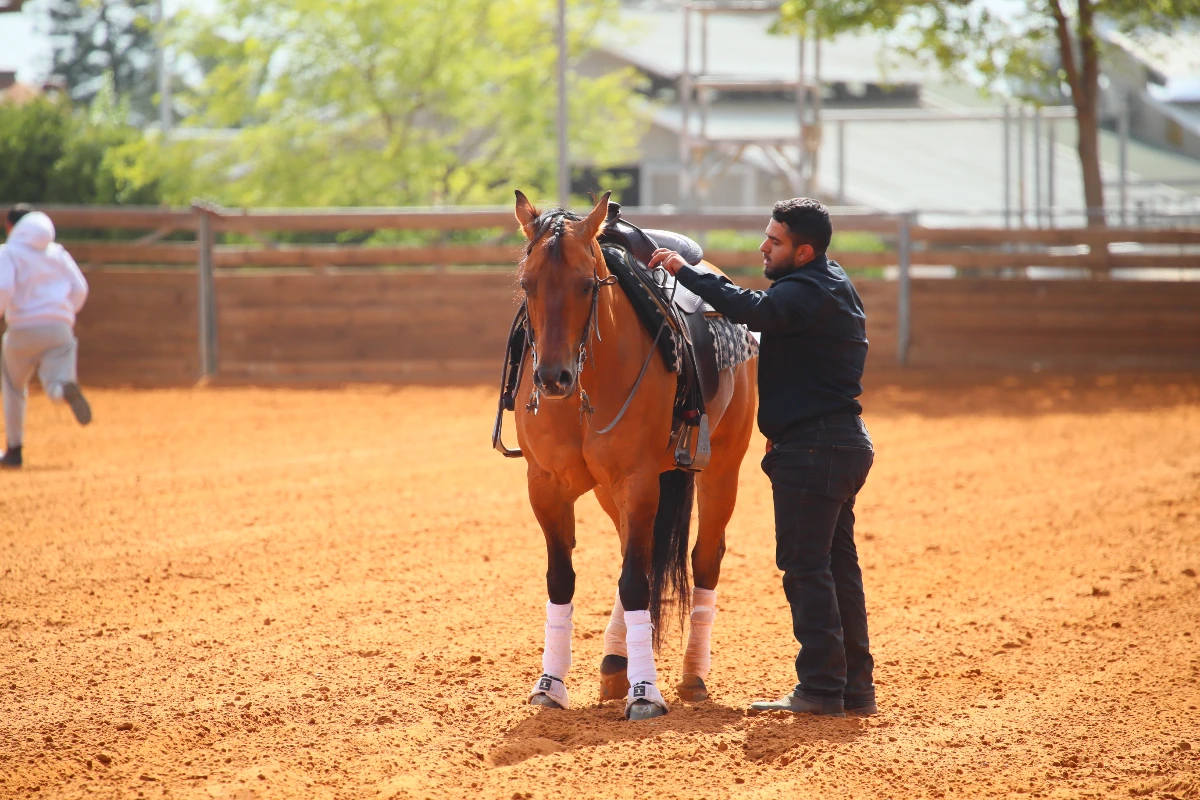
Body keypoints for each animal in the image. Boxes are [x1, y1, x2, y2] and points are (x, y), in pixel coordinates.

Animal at [508, 191, 753, 719]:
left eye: (585, 285)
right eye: (526, 283)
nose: (552, 378)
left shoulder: (637, 482)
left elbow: (637, 581)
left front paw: (646, 693)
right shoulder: (546, 486)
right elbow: (563, 579)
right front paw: (550, 684)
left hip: (723, 466)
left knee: (705, 557)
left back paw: (692, 676)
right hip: (611, 490)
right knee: (631, 553)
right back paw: (615, 664)